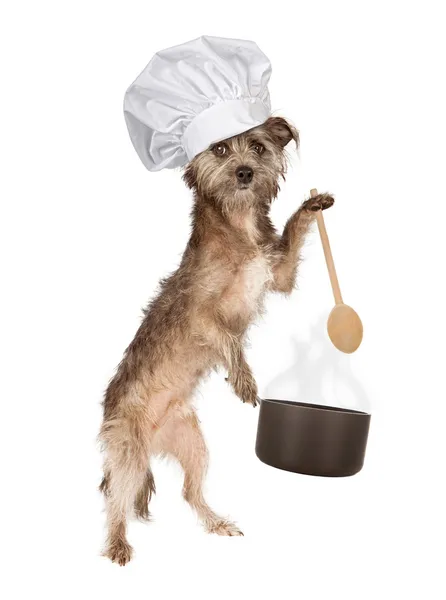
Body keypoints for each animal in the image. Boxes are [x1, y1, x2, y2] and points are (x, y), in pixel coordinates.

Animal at [98, 116, 334, 564]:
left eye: (258, 147)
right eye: (220, 149)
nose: (244, 173)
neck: (238, 227)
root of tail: (154, 442)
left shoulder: (279, 274)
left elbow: (293, 234)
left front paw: (310, 206)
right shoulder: (200, 315)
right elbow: (228, 338)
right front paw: (243, 380)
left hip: (194, 446)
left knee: (191, 494)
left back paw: (217, 523)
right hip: (129, 453)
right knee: (115, 501)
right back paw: (117, 543)